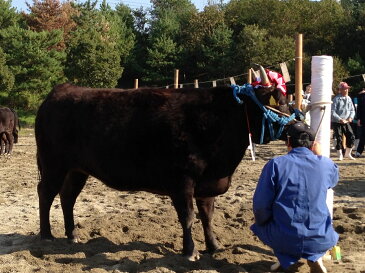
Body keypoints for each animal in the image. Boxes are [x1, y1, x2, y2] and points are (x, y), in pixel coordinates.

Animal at [34, 74, 290, 260]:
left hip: (77, 170)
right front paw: (190, 252)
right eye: (278, 103)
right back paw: (46, 235)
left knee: (67, 197)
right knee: (46, 193)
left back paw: (72, 235)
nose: (298, 127)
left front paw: (214, 246)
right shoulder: (181, 180)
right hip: (53, 164)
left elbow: (207, 216)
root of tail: (61, 90)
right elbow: (188, 217)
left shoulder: (207, 183)